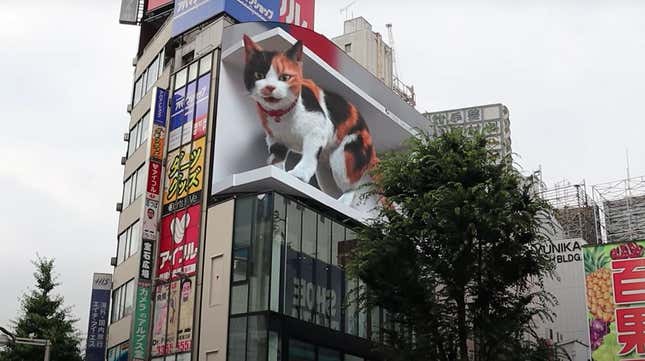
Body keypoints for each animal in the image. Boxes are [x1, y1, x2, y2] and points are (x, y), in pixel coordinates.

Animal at [242, 35, 378, 205]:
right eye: (259, 75)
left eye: (284, 77)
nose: (269, 87)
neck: (282, 115)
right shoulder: (275, 139)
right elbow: (276, 159)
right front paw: (275, 177)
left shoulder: (317, 130)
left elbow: (309, 155)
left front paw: (299, 175)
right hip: (325, 170)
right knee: (331, 188)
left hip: (344, 157)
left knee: (351, 187)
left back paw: (342, 202)